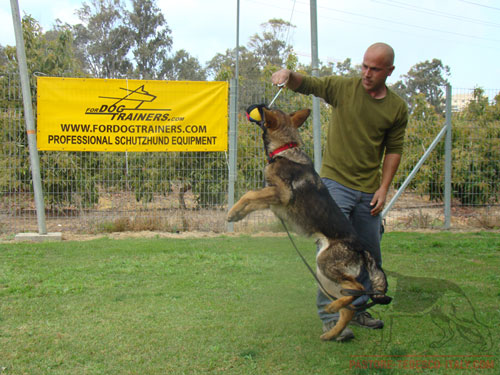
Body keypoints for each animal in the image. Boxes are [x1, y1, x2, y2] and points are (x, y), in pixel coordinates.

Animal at [229, 107, 392, 342]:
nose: (253, 107)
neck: (286, 148)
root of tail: (360, 247)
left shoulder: (281, 194)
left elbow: (249, 194)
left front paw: (231, 212)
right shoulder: (273, 199)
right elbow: (251, 199)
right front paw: (237, 214)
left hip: (325, 265)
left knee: (359, 288)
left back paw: (333, 313)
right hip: (324, 276)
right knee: (349, 306)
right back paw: (332, 330)